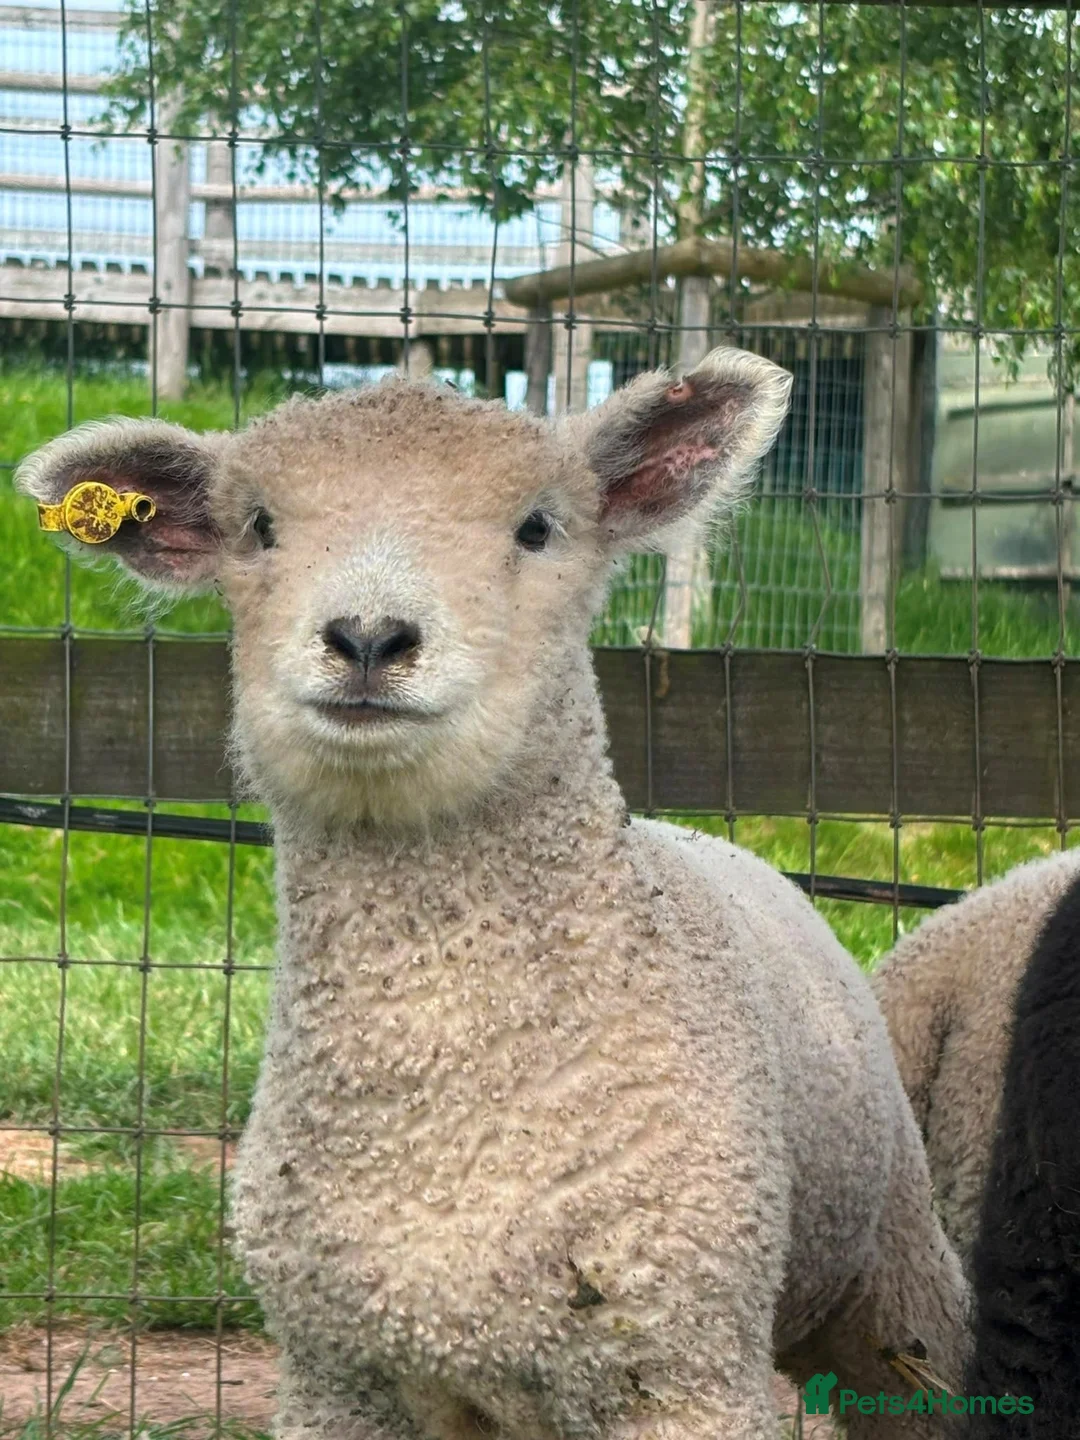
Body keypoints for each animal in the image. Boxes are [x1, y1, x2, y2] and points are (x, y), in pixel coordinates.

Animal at [17, 349, 969, 1440]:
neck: (449, 1118)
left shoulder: (682, 1366)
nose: (368, 637)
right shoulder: (337, 1379)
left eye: (537, 527)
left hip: (893, 1278)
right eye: (257, 525)